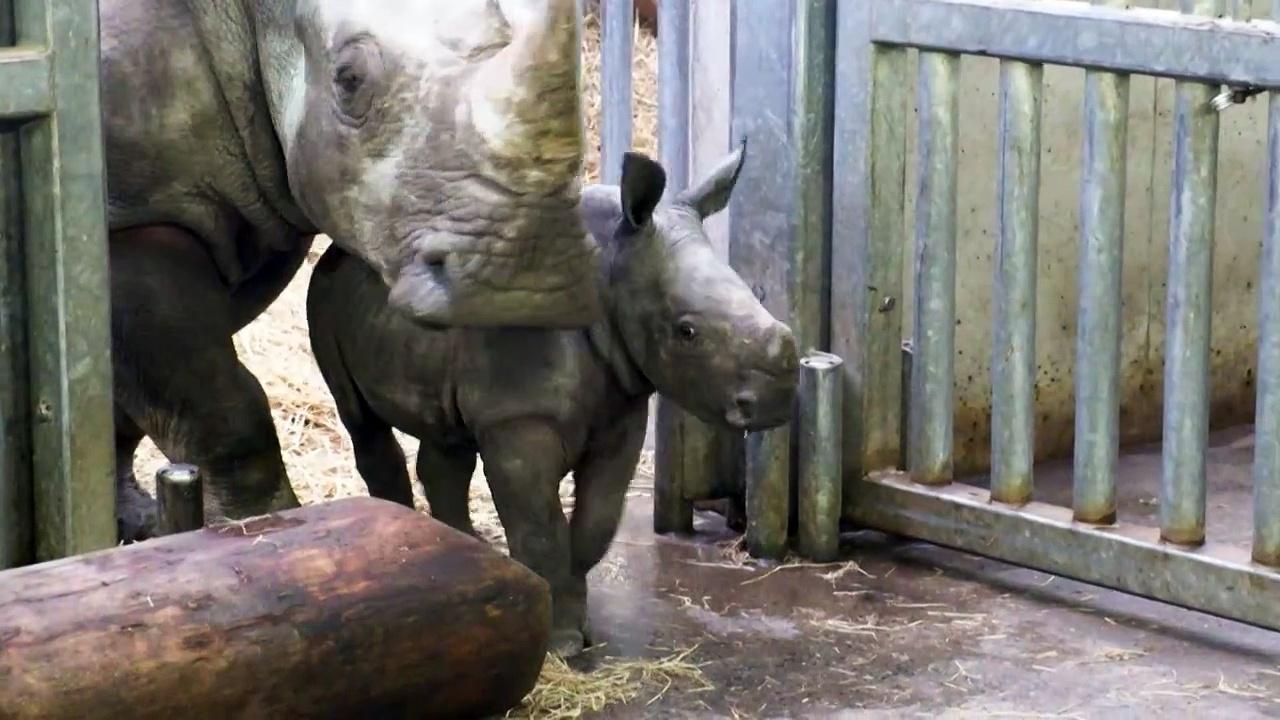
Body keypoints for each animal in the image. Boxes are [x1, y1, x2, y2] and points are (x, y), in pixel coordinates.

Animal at [102, 0, 596, 538]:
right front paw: (261, 528)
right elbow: (217, 408)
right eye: (349, 79)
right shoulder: (132, 218)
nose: (527, 288)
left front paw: (145, 529)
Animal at [304, 147, 793, 655]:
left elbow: (596, 521)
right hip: (325, 293)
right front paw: (559, 643)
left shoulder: (620, 407)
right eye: (687, 332)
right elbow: (540, 529)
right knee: (360, 417)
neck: (608, 265)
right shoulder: (517, 418)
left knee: (447, 435)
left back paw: (464, 551)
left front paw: (577, 627)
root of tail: (336, 246)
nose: (778, 399)